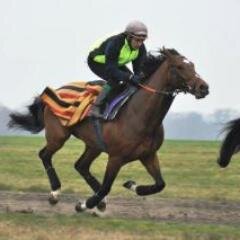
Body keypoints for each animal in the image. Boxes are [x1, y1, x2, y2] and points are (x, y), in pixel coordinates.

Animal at [8, 47, 209, 212]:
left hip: (93, 144)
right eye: (180, 67)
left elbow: (160, 184)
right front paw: (84, 204)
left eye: (193, 65)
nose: (203, 87)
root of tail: (54, 91)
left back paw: (99, 200)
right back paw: (55, 193)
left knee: (81, 165)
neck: (139, 114)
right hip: (58, 135)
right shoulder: (116, 157)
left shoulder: (148, 154)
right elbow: (106, 186)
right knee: (45, 155)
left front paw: (130, 184)